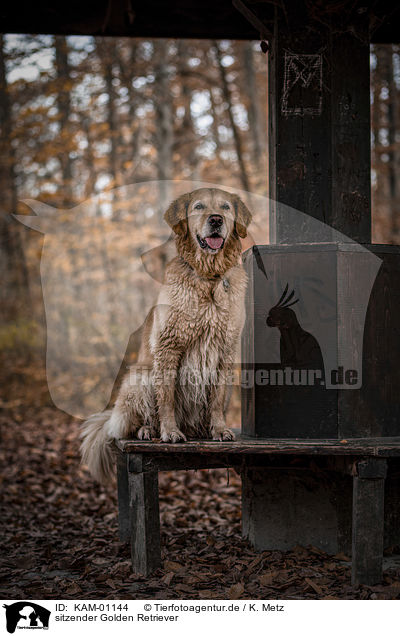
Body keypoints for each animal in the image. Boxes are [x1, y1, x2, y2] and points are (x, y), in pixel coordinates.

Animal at [79, 188, 252, 482]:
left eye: (226, 207)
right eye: (199, 206)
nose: (216, 220)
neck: (208, 277)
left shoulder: (225, 350)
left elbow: (216, 399)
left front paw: (219, 430)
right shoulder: (168, 348)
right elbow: (167, 398)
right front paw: (169, 432)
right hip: (139, 378)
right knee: (134, 421)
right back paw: (148, 430)